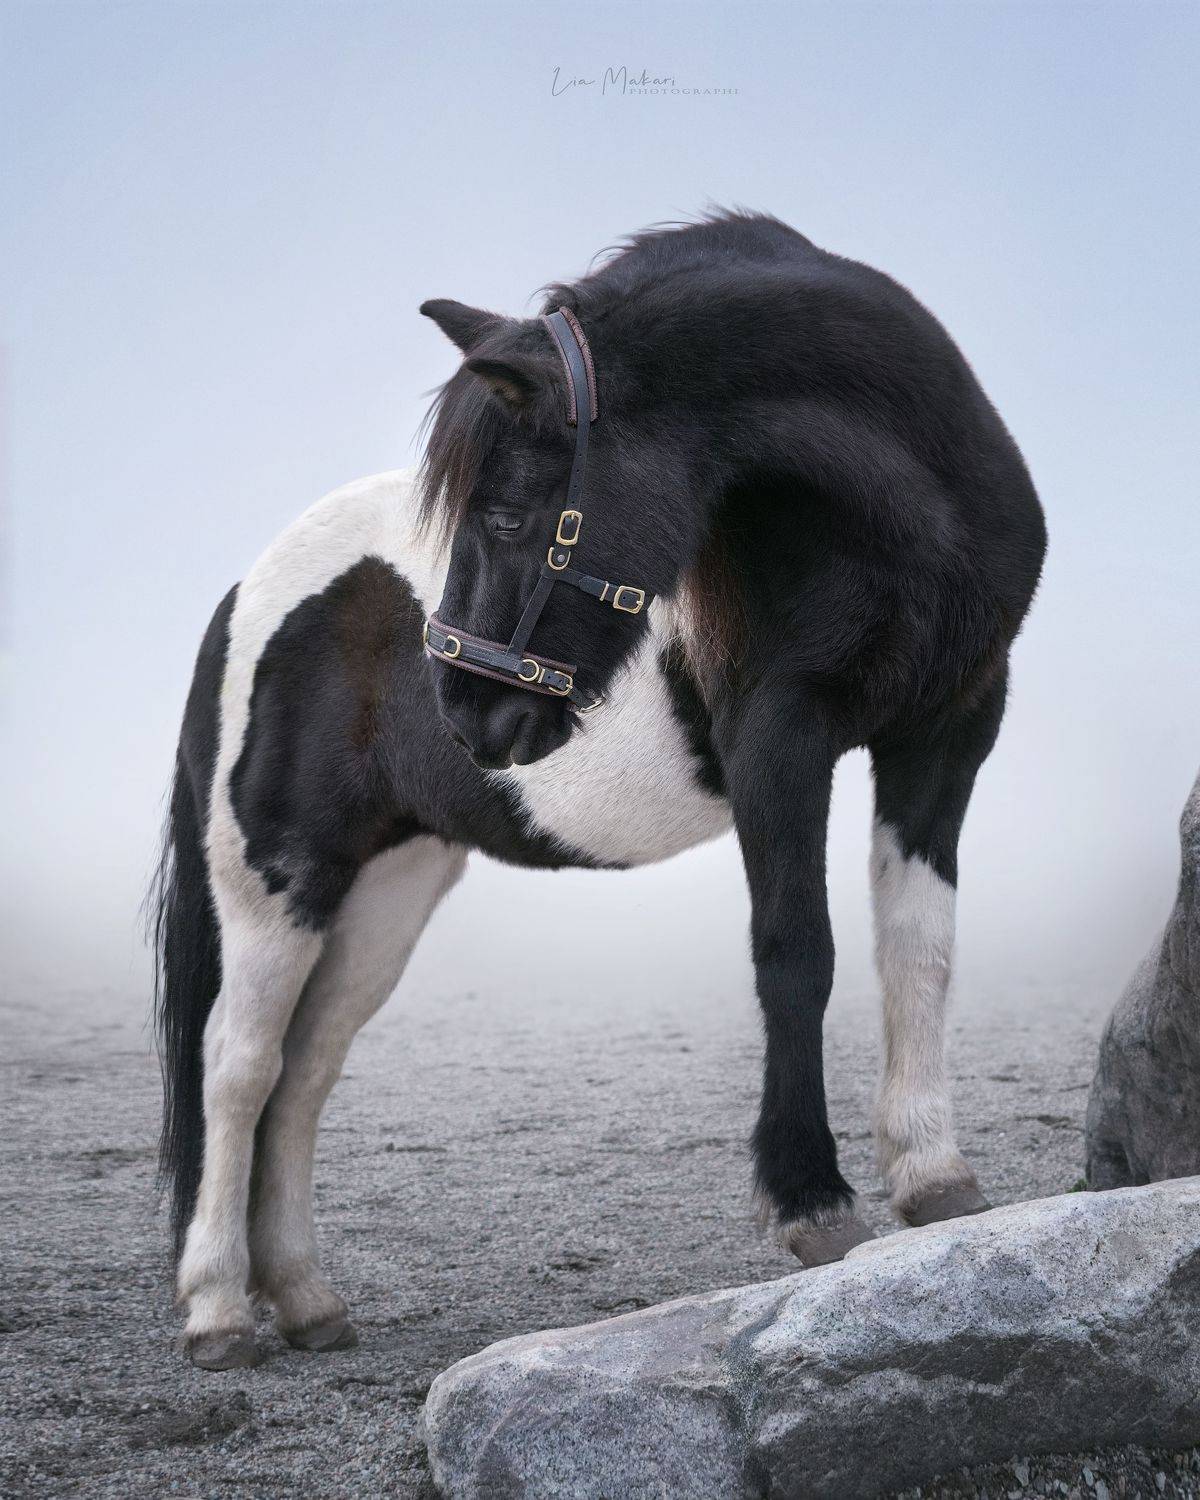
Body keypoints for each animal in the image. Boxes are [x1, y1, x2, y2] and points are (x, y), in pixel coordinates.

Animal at [152, 210, 1046, 1370]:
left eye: (505, 513)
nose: (465, 713)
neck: (900, 516)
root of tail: (246, 592)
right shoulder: (781, 741)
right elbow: (798, 954)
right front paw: (811, 1201)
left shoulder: (948, 733)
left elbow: (920, 952)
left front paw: (935, 1176)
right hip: (278, 877)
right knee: (238, 1065)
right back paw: (219, 1311)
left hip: (385, 891)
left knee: (304, 1073)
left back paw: (306, 1301)